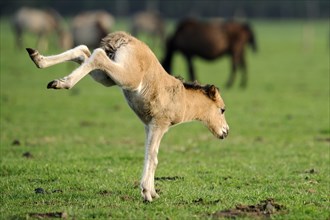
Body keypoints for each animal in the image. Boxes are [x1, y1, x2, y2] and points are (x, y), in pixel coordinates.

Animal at [25, 31, 228, 202]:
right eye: (222, 110)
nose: (225, 132)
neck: (182, 98)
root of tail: (124, 37)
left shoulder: (148, 126)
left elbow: (149, 155)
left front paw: (152, 192)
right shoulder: (159, 125)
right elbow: (153, 156)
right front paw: (147, 193)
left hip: (107, 78)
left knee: (83, 52)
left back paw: (38, 59)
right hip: (127, 77)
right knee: (97, 54)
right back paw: (61, 82)